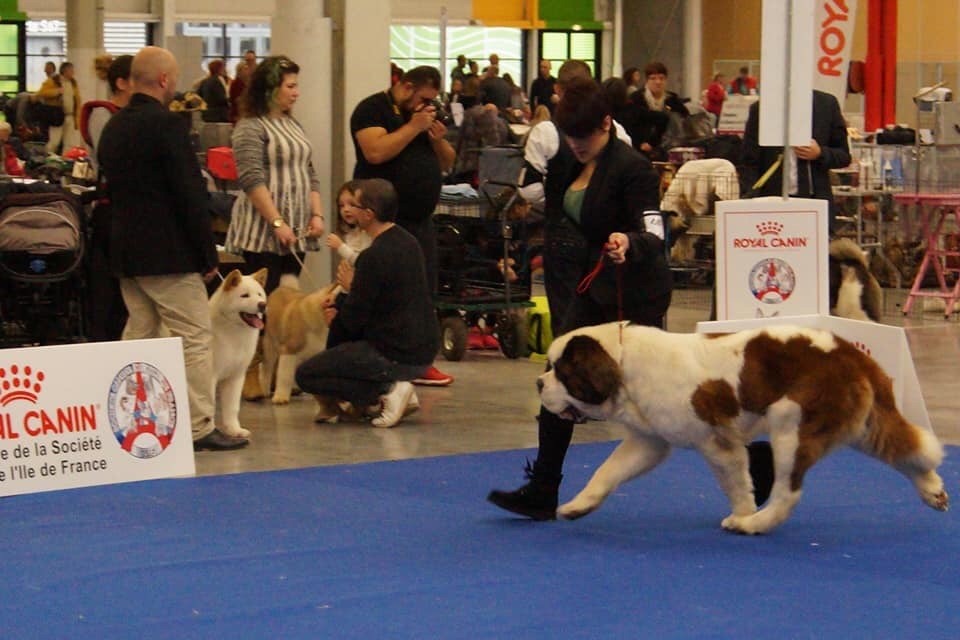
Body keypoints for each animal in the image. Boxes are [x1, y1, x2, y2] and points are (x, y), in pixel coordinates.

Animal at [536, 322, 948, 532]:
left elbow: (735, 481)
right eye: (551, 368)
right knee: (906, 448)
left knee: (788, 491)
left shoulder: (715, 440)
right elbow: (607, 471)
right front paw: (578, 506)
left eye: (562, 372)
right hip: (862, 424)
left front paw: (745, 513)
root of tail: (850, 354)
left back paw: (757, 524)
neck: (622, 362)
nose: (539, 383)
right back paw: (932, 490)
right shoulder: (650, 440)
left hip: (790, 420)